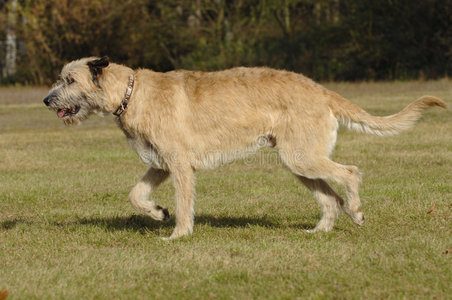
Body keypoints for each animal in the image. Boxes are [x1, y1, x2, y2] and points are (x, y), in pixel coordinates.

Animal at [42, 56, 444, 239]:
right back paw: (320, 231)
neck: (131, 91)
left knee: (350, 173)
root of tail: (320, 89)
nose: (46, 100)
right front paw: (157, 212)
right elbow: (135, 194)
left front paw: (178, 235)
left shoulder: (180, 166)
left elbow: (184, 205)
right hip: (298, 162)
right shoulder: (160, 164)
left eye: (69, 79)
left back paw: (357, 212)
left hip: (302, 157)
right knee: (330, 197)